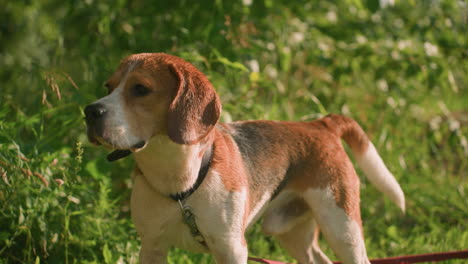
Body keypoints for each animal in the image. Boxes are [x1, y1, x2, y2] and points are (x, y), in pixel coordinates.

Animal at [85, 53, 406, 264]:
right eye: (108, 87)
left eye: (141, 89)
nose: (89, 111)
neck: (180, 183)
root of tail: (321, 125)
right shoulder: (152, 246)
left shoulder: (232, 249)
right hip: (291, 230)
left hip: (343, 228)